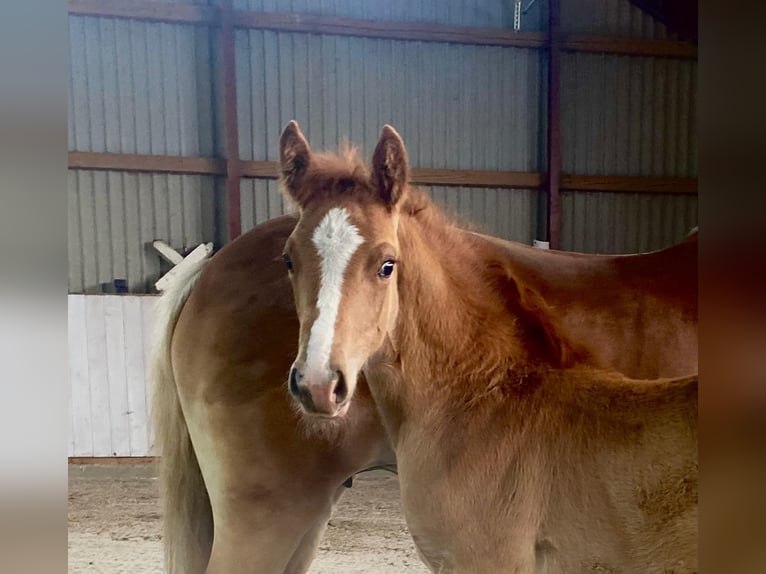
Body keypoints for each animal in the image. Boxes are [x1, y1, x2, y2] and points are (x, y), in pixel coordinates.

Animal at [150, 127, 696, 574]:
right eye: (288, 260)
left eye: (387, 264)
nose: (318, 385)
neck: (486, 392)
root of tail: (204, 272)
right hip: (269, 510)